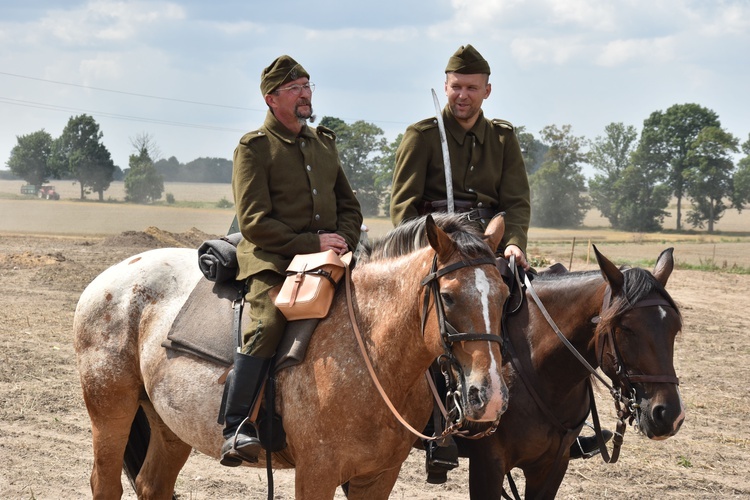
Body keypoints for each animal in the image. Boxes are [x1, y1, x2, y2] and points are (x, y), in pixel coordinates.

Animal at [73, 215, 512, 500]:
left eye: (505, 296)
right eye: (449, 297)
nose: (489, 395)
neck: (370, 354)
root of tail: (112, 275)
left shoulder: (378, 477)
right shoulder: (317, 473)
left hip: (170, 426)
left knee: (152, 486)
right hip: (110, 413)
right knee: (105, 484)